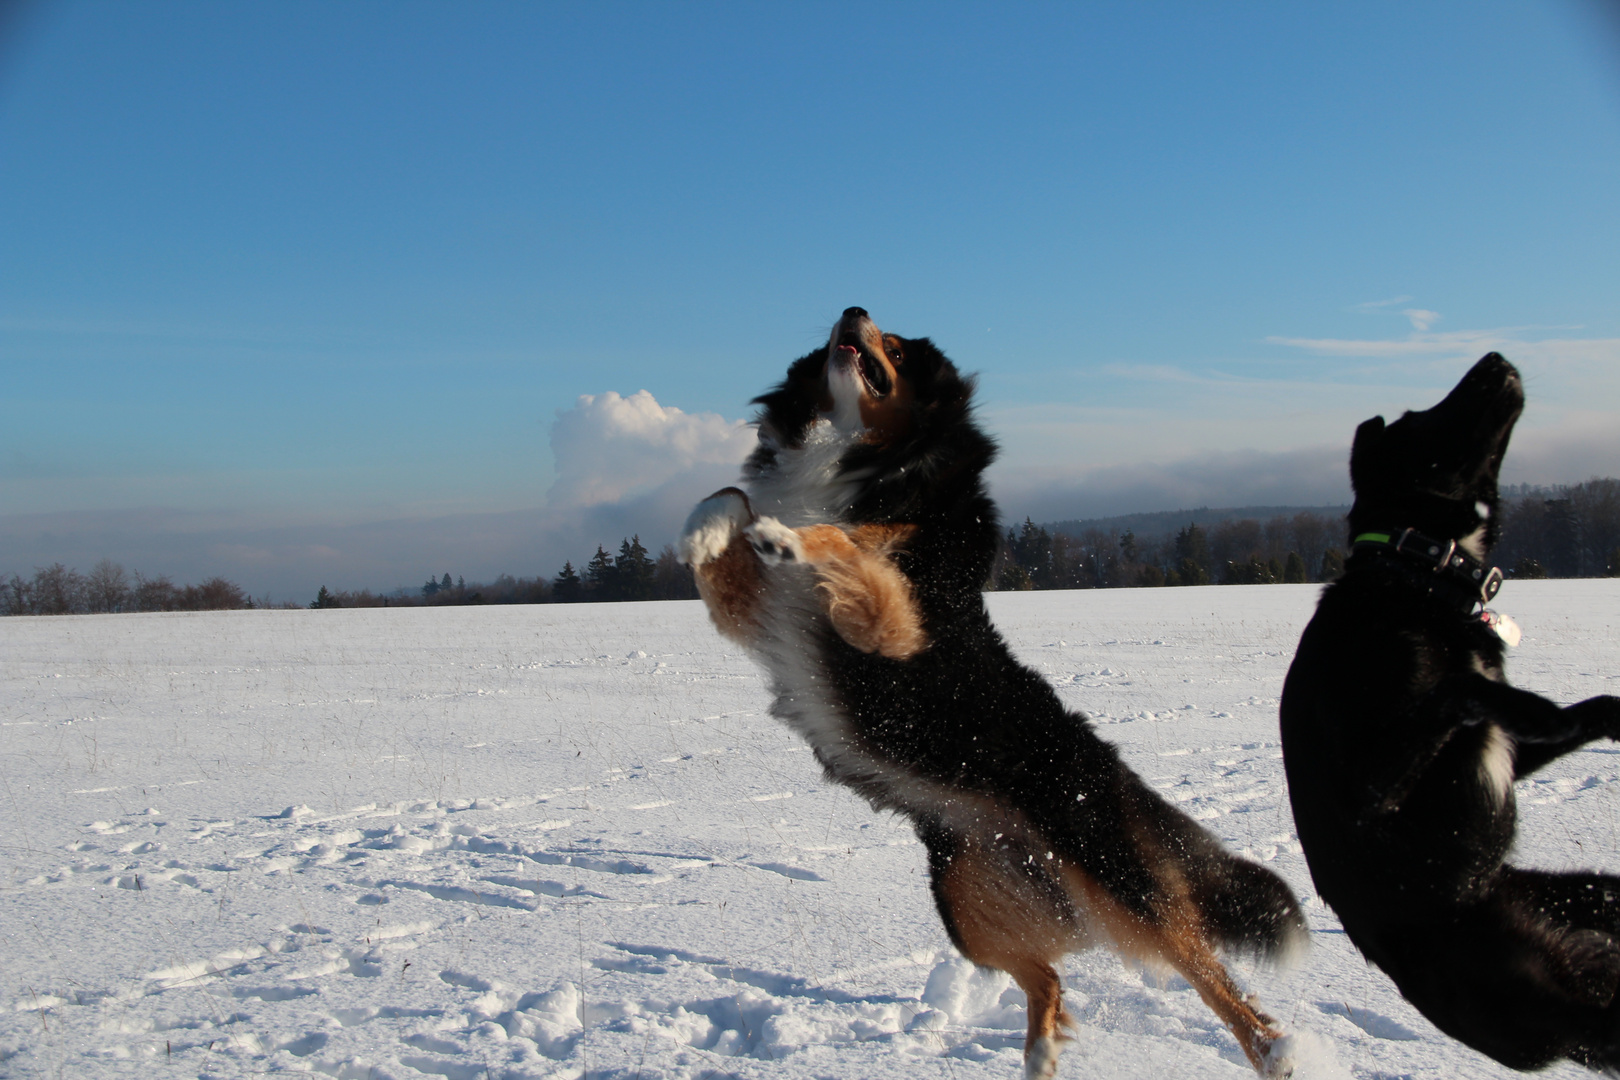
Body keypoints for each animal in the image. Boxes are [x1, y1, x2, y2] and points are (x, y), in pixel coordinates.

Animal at [1276, 354, 1620, 1075]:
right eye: (1419, 420)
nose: (1495, 360)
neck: (1417, 578)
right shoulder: (1366, 787)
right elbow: (1460, 692)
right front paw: (1535, 706)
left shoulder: (1505, 755)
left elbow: (1579, 708)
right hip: (1543, 1005)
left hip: (1586, 900)